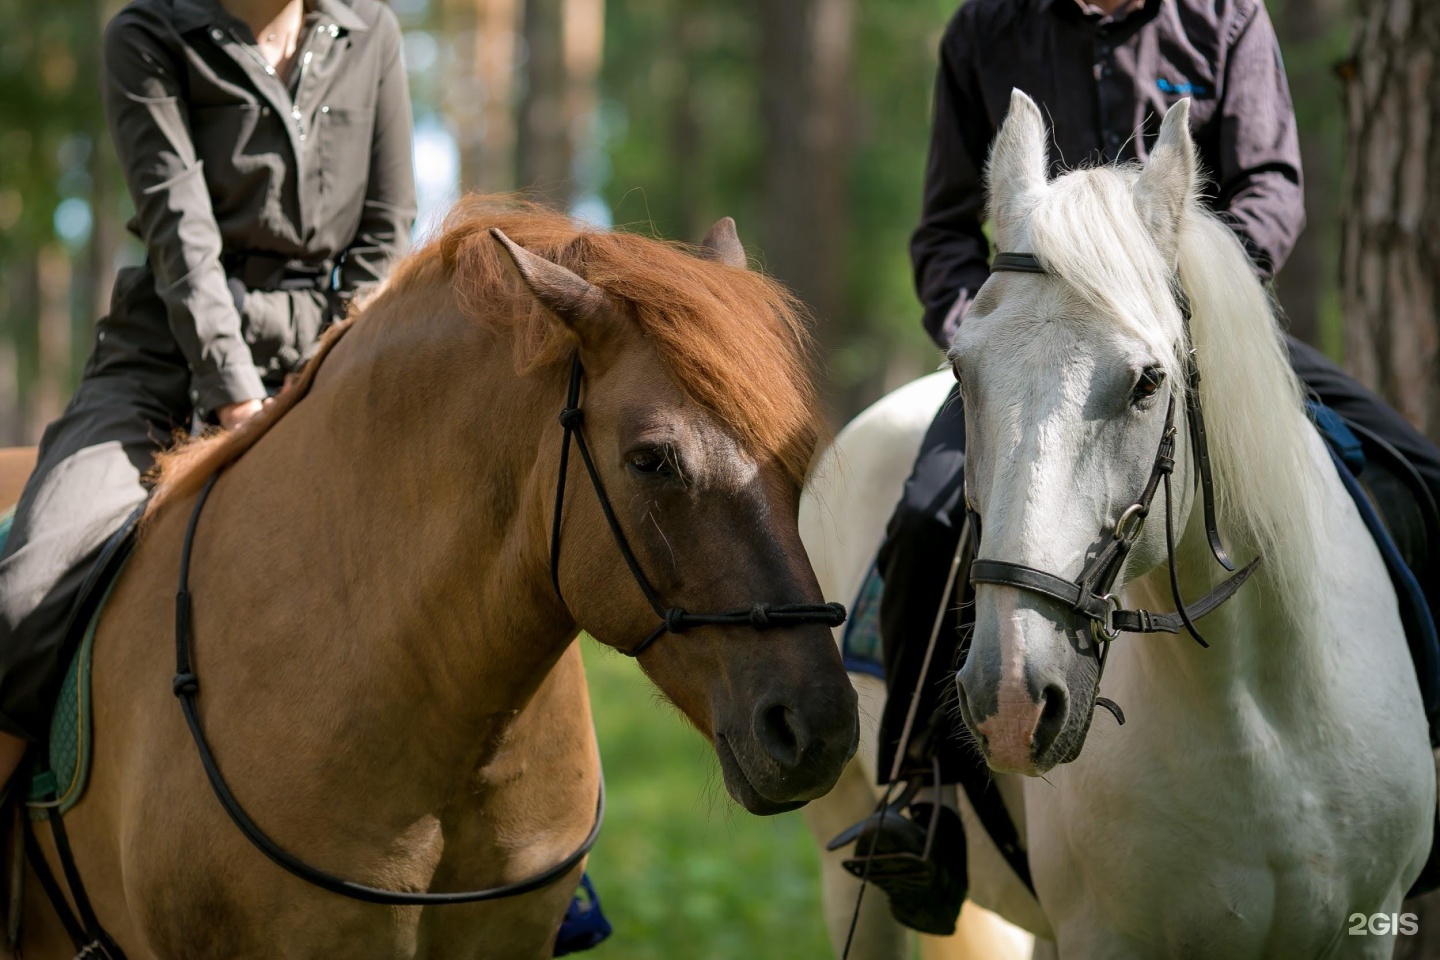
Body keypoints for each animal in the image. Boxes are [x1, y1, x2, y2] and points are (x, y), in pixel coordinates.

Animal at [806, 89, 1434, 960]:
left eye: (1147, 381)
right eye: (963, 373)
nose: (1010, 700)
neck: (1252, 717)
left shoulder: (1364, 927)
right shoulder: (1104, 935)